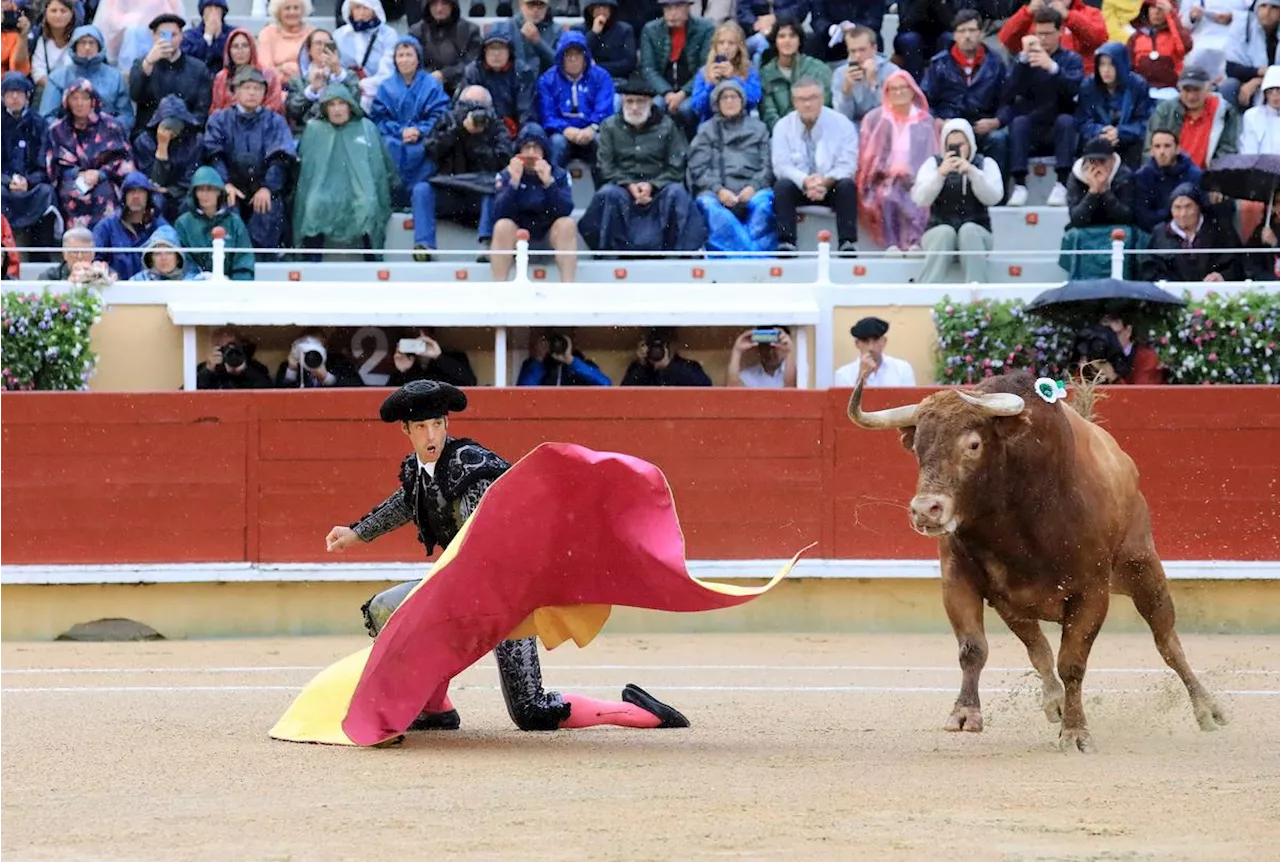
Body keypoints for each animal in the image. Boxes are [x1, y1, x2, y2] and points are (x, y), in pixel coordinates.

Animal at [849, 366, 1228, 748]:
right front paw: (965, 714)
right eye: (918, 447)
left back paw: (1208, 710)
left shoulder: (1092, 592)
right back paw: (1054, 701)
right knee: (1038, 647)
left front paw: (1075, 732)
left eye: (973, 444)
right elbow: (973, 648)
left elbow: (1072, 663)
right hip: (1013, 604)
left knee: (1167, 642)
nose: (925, 510)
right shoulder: (958, 578)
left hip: (1142, 569)